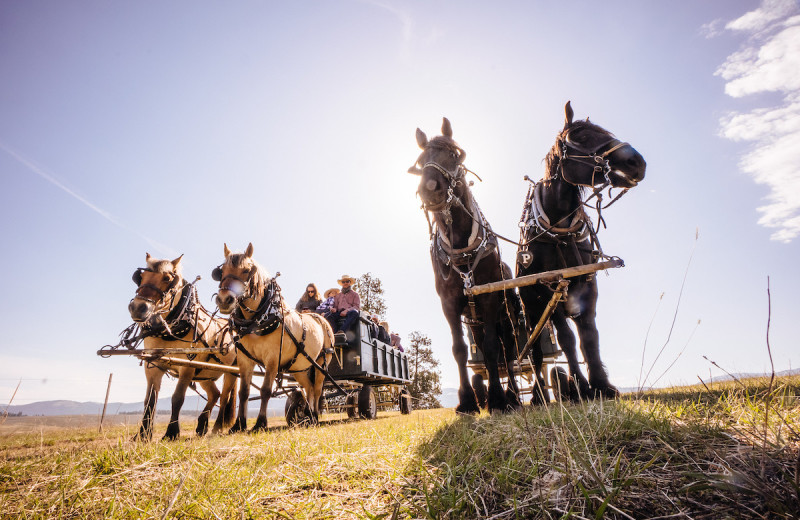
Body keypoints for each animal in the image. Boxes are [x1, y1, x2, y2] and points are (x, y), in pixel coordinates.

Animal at [128, 254, 238, 440]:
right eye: (139, 277)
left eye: (167, 278)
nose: (137, 308)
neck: (170, 330)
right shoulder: (152, 365)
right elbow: (149, 400)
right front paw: (143, 435)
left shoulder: (187, 367)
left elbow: (177, 398)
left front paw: (171, 432)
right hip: (205, 374)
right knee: (214, 394)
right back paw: (202, 425)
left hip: (230, 371)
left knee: (224, 397)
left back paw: (215, 428)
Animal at [211, 244, 332, 434]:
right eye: (221, 271)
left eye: (247, 270)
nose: (224, 300)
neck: (257, 321)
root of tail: (321, 318)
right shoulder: (245, 359)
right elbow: (244, 392)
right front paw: (239, 425)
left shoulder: (273, 359)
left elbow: (266, 390)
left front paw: (260, 423)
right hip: (299, 367)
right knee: (309, 388)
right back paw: (308, 416)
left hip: (321, 362)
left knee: (318, 389)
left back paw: (314, 416)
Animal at [410, 118, 520, 414]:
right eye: (420, 161)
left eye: (454, 154)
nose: (430, 188)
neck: (461, 248)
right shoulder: (449, 303)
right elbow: (459, 349)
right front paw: (468, 401)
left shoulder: (489, 298)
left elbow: (493, 348)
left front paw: (497, 399)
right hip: (475, 321)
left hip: (506, 315)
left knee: (509, 349)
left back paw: (514, 396)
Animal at [520, 102, 644, 402]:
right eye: (583, 137)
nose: (637, 162)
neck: (561, 233)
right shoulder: (550, 289)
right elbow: (567, 339)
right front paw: (579, 386)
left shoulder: (588, 283)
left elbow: (589, 336)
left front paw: (601, 384)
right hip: (531, 307)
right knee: (535, 350)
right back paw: (539, 395)